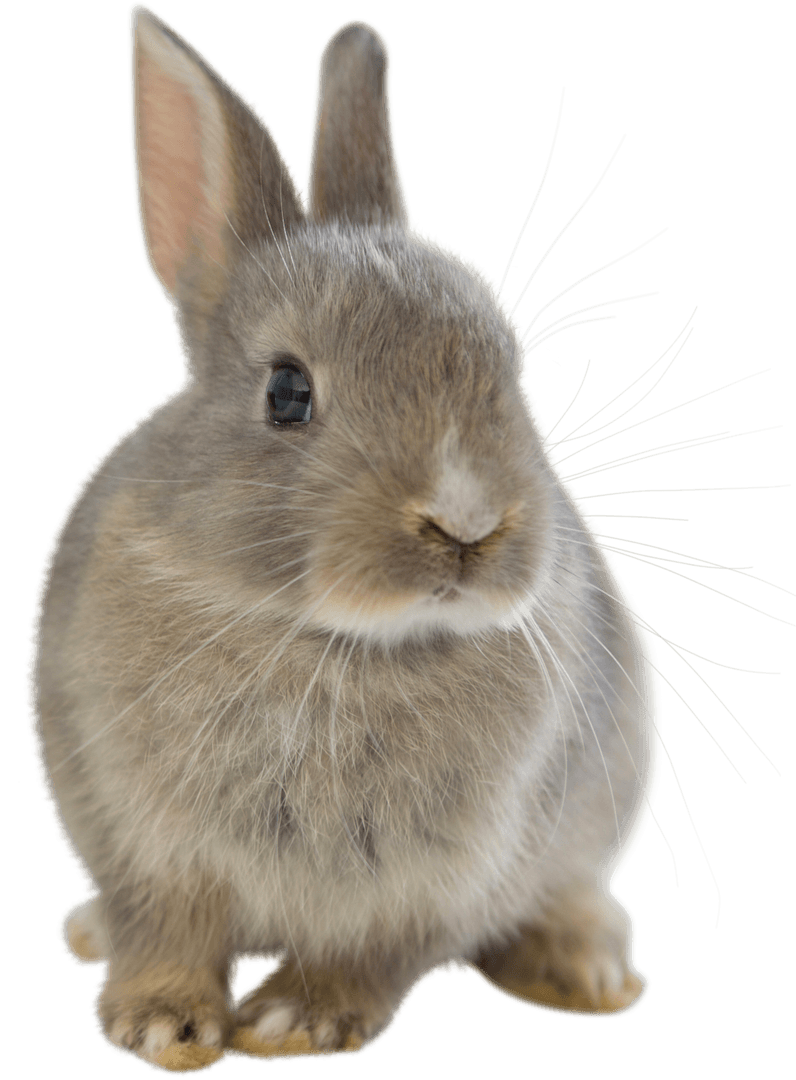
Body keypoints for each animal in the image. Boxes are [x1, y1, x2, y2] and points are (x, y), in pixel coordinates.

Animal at [26, 2, 660, 1067]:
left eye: (512, 370)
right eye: (288, 392)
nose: (466, 525)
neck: (330, 641)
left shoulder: (449, 873)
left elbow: (376, 953)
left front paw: (294, 1020)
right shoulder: (132, 835)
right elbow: (164, 930)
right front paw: (163, 1026)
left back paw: (587, 973)